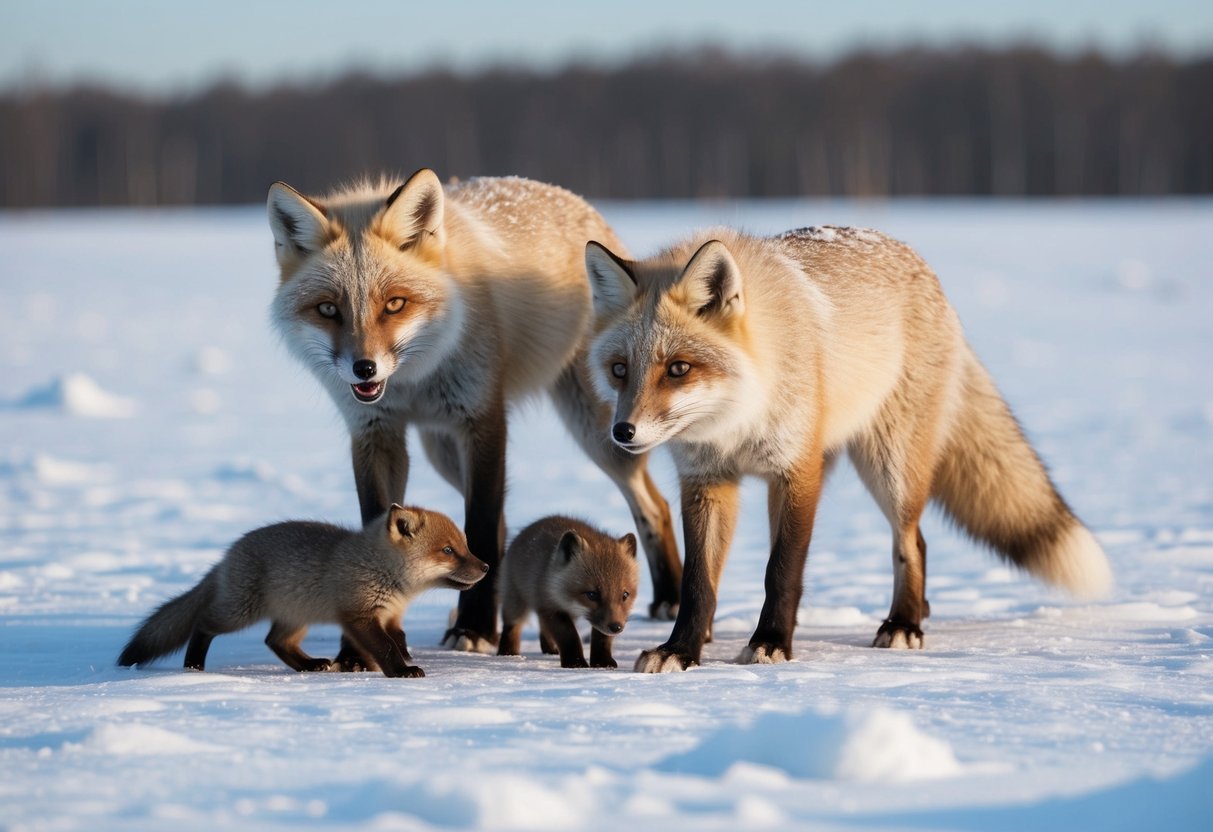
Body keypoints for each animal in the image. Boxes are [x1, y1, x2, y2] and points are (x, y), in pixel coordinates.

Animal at [117, 505, 487, 677]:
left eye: (465, 547)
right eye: (448, 551)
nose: (485, 567)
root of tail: (227, 555)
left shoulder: (390, 616)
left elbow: (398, 640)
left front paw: (403, 659)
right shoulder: (358, 615)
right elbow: (384, 648)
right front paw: (401, 671)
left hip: (297, 617)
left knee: (275, 641)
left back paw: (309, 665)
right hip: (239, 613)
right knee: (203, 624)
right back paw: (193, 665)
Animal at [497, 516, 639, 668]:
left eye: (625, 595)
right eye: (592, 594)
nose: (616, 627)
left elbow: (602, 639)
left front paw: (602, 662)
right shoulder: (550, 608)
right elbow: (568, 637)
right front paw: (575, 663)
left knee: (543, 629)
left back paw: (549, 650)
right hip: (515, 602)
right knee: (512, 626)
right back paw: (508, 654)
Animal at [583, 225, 1114, 673]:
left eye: (678, 369)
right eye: (619, 369)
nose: (623, 432)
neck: (736, 420)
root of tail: (916, 259)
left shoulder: (798, 471)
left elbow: (782, 571)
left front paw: (771, 643)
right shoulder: (708, 482)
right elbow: (699, 584)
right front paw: (682, 650)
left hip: (891, 468)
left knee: (912, 542)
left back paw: (904, 623)